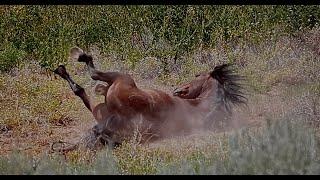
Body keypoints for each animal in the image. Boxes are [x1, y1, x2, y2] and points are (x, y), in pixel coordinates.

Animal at [53, 47, 246, 146]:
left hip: (122, 79)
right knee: (81, 91)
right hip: (102, 111)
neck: (203, 107)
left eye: (198, 75)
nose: (177, 89)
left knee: (92, 76)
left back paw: (71, 62)